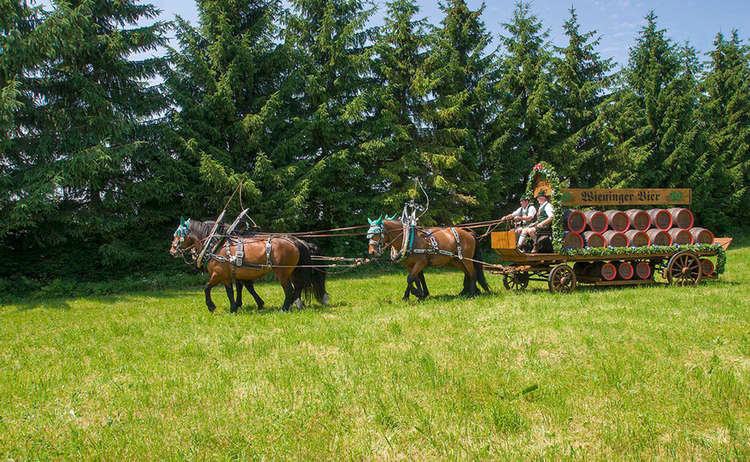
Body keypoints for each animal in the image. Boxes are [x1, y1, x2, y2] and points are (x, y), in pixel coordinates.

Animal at [172, 218, 328, 312]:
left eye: (178, 234)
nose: (172, 250)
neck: (216, 244)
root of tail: (295, 241)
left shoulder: (218, 274)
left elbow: (207, 287)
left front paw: (211, 306)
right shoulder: (229, 275)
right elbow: (233, 291)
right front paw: (234, 307)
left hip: (282, 273)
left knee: (290, 290)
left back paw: (285, 308)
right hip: (293, 271)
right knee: (298, 287)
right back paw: (294, 304)